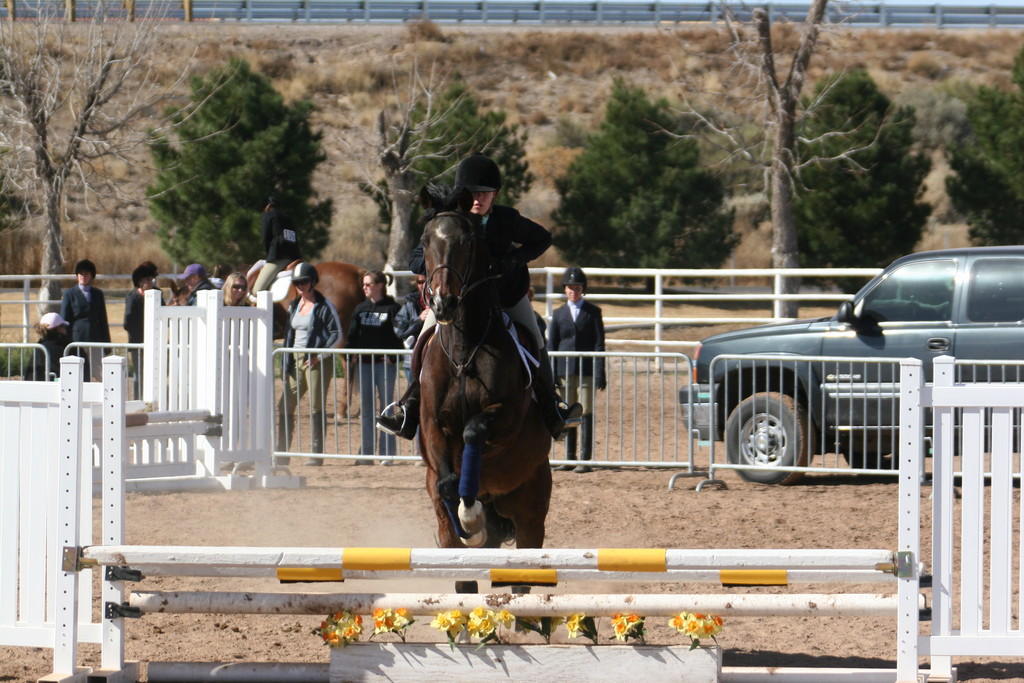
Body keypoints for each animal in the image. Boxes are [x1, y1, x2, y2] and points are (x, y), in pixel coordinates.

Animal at [415, 184, 552, 589]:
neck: (464, 349)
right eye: (425, 240)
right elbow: (447, 482)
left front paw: (470, 514)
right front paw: (468, 518)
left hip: (530, 508)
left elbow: (475, 428)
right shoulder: (431, 424)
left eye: (467, 241)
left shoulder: (506, 419)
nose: (443, 304)